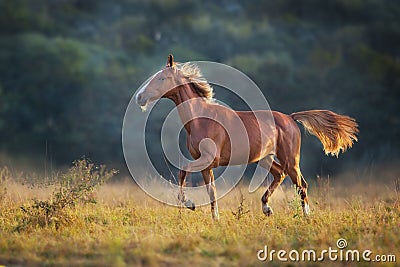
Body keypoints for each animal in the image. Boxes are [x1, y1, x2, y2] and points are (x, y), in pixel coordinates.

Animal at [135, 55, 360, 221]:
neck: (200, 118)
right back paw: (267, 208)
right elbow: (211, 191)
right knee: (280, 175)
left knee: (301, 184)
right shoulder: (206, 165)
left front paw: (190, 204)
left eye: (162, 79)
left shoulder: (208, 159)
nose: (139, 98)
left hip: (290, 159)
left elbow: (183, 171)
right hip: (266, 158)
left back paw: (305, 216)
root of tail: (290, 117)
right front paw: (215, 219)